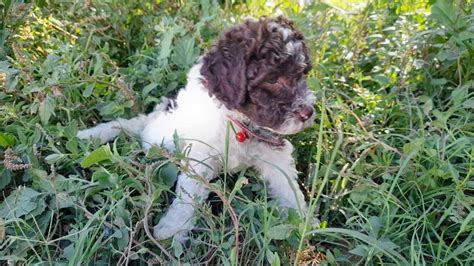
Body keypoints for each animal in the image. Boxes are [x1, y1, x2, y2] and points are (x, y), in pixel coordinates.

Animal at [77, 16, 314, 241]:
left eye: (302, 74)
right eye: (272, 79)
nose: (308, 112)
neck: (237, 122)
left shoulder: (272, 147)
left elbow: (287, 185)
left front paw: (302, 222)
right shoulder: (200, 154)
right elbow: (188, 191)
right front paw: (172, 230)